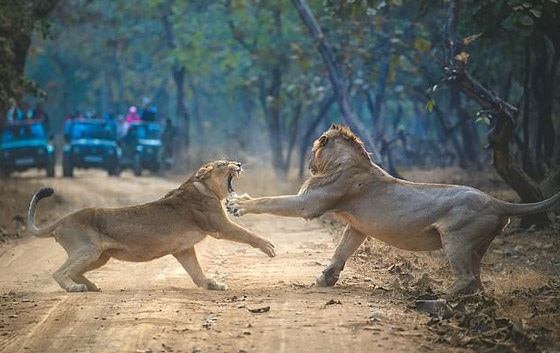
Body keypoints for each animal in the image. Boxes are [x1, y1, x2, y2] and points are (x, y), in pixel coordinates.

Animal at [28, 160, 278, 292]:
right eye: (222, 163)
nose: (239, 163)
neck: (202, 187)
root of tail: (62, 221)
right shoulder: (220, 227)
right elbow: (246, 233)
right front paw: (268, 246)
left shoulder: (183, 249)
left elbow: (196, 271)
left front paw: (211, 284)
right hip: (88, 249)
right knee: (59, 271)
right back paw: (74, 288)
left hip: (101, 256)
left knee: (76, 271)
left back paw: (91, 285)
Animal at [228, 125, 560, 292]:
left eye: (313, 150)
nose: (309, 163)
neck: (349, 161)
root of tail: (497, 201)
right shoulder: (356, 226)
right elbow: (341, 251)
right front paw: (326, 279)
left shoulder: (310, 203)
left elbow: (271, 200)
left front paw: (238, 204)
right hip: (477, 246)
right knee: (477, 282)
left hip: (457, 239)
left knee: (466, 278)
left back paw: (438, 298)